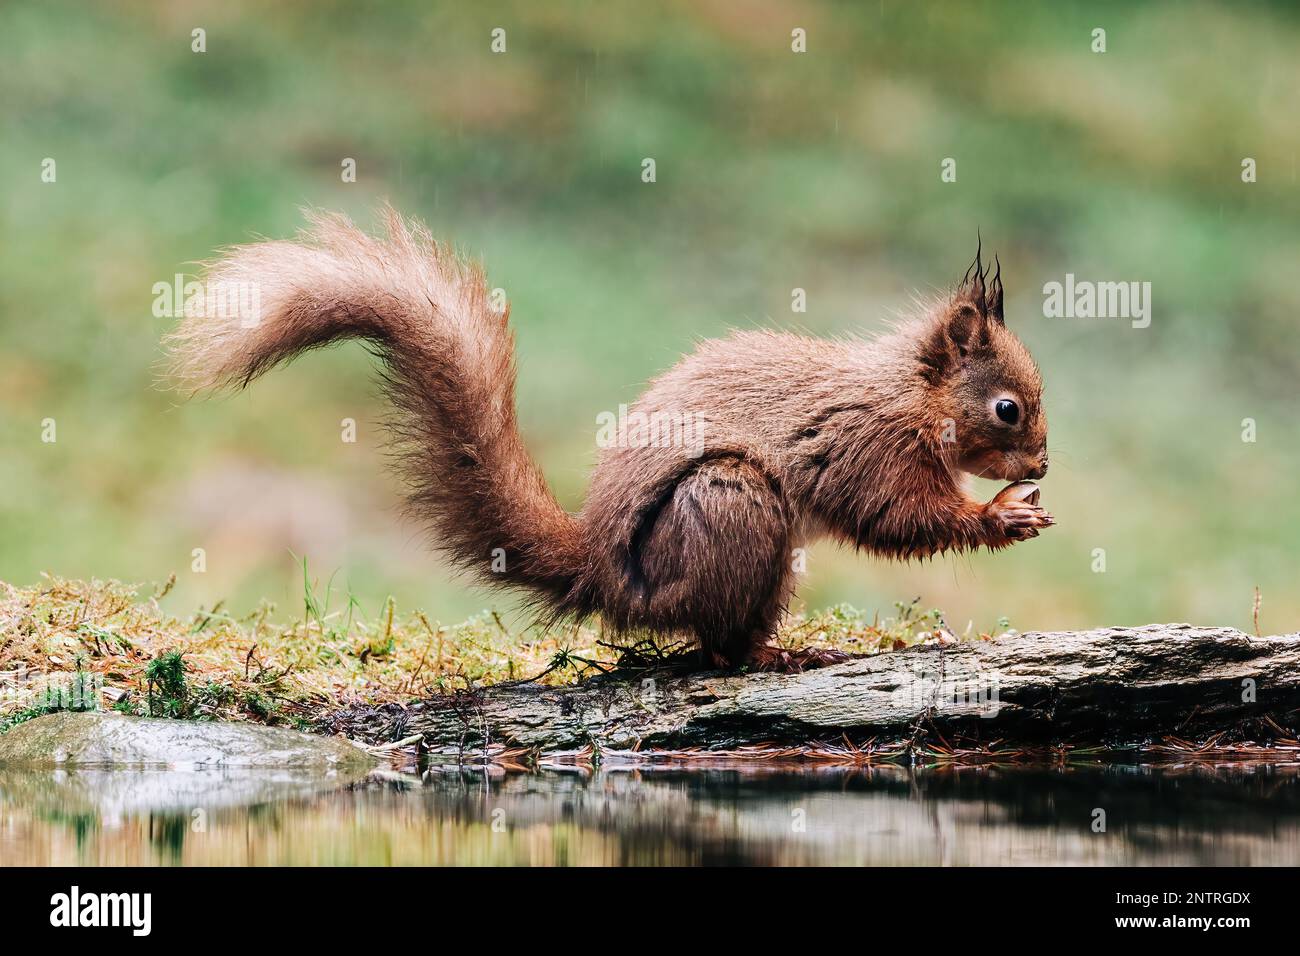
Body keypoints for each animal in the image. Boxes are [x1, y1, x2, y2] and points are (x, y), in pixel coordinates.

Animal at [168, 207, 1053, 671]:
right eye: (1008, 408)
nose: (1044, 462)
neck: (911, 396)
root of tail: (605, 573)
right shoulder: (866, 444)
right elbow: (895, 516)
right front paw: (1002, 516)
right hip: (729, 504)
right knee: (715, 645)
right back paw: (775, 659)